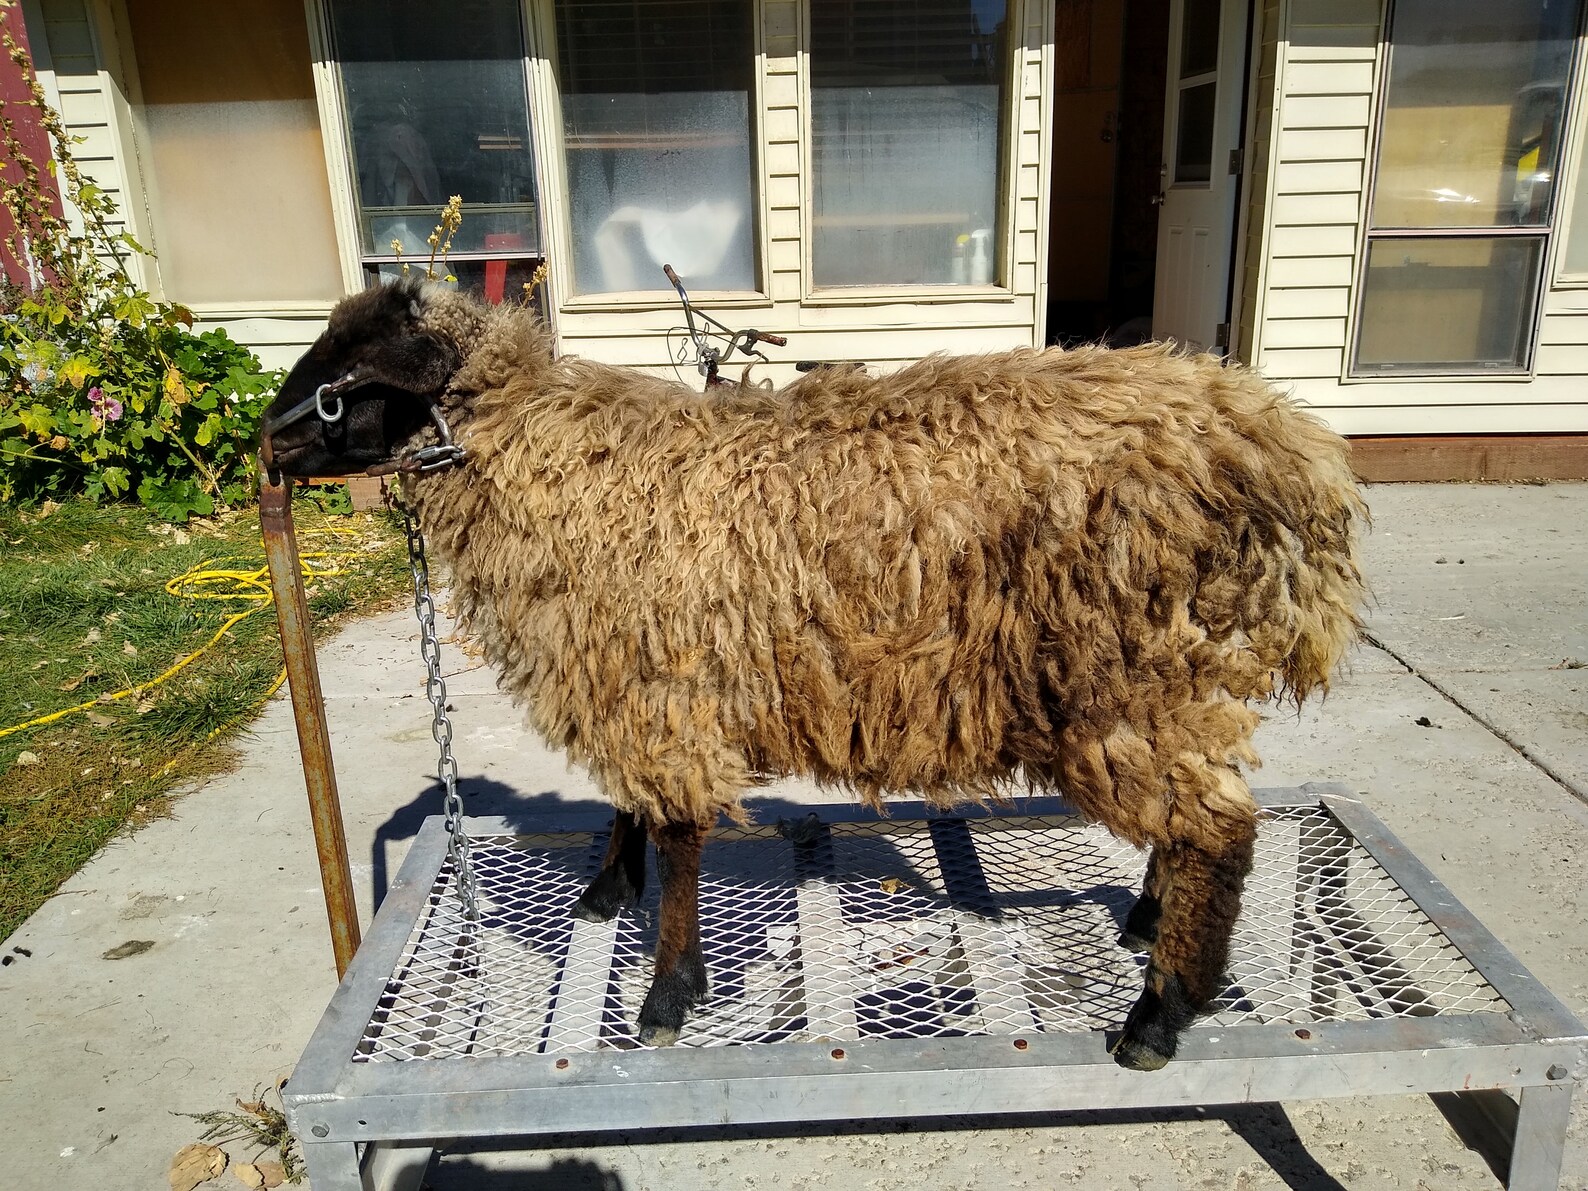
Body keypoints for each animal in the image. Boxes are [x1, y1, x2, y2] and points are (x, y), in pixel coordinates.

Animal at [259, 278, 1366, 1069]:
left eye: (350, 372)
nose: (262, 443)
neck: (561, 460)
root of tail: (1278, 440)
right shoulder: (635, 671)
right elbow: (630, 803)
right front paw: (607, 889)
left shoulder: (662, 680)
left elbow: (679, 833)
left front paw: (667, 994)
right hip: (1163, 679)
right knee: (1198, 815)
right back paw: (1148, 923)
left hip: (1125, 676)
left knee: (1218, 829)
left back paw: (1159, 1015)